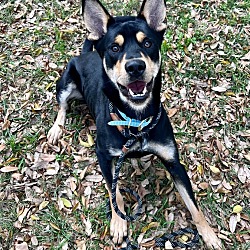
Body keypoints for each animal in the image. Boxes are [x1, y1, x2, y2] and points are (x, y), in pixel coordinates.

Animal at [47, 0, 223, 248]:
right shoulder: (103, 156)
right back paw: (56, 129)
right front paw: (119, 223)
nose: (135, 67)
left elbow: (194, 205)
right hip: (65, 83)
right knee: (62, 106)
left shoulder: (173, 162)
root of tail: (85, 55)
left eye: (147, 43)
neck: (135, 119)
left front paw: (208, 234)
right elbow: (115, 193)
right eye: (114, 48)